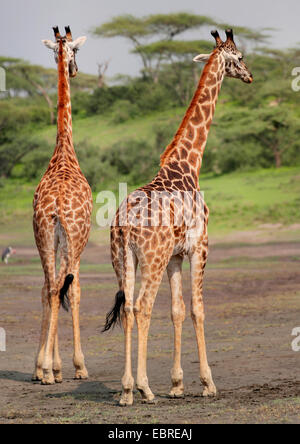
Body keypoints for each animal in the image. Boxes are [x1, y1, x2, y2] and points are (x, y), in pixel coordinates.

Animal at [103, 29, 253, 406]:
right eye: (239, 56)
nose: (250, 76)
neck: (188, 165)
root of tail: (124, 225)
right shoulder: (200, 247)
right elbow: (198, 308)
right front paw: (208, 383)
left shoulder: (175, 256)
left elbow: (177, 311)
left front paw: (176, 384)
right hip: (151, 259)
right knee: (141, 307)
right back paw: (143, 388)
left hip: (123, 259)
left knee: (128, 309)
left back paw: (126, 390)